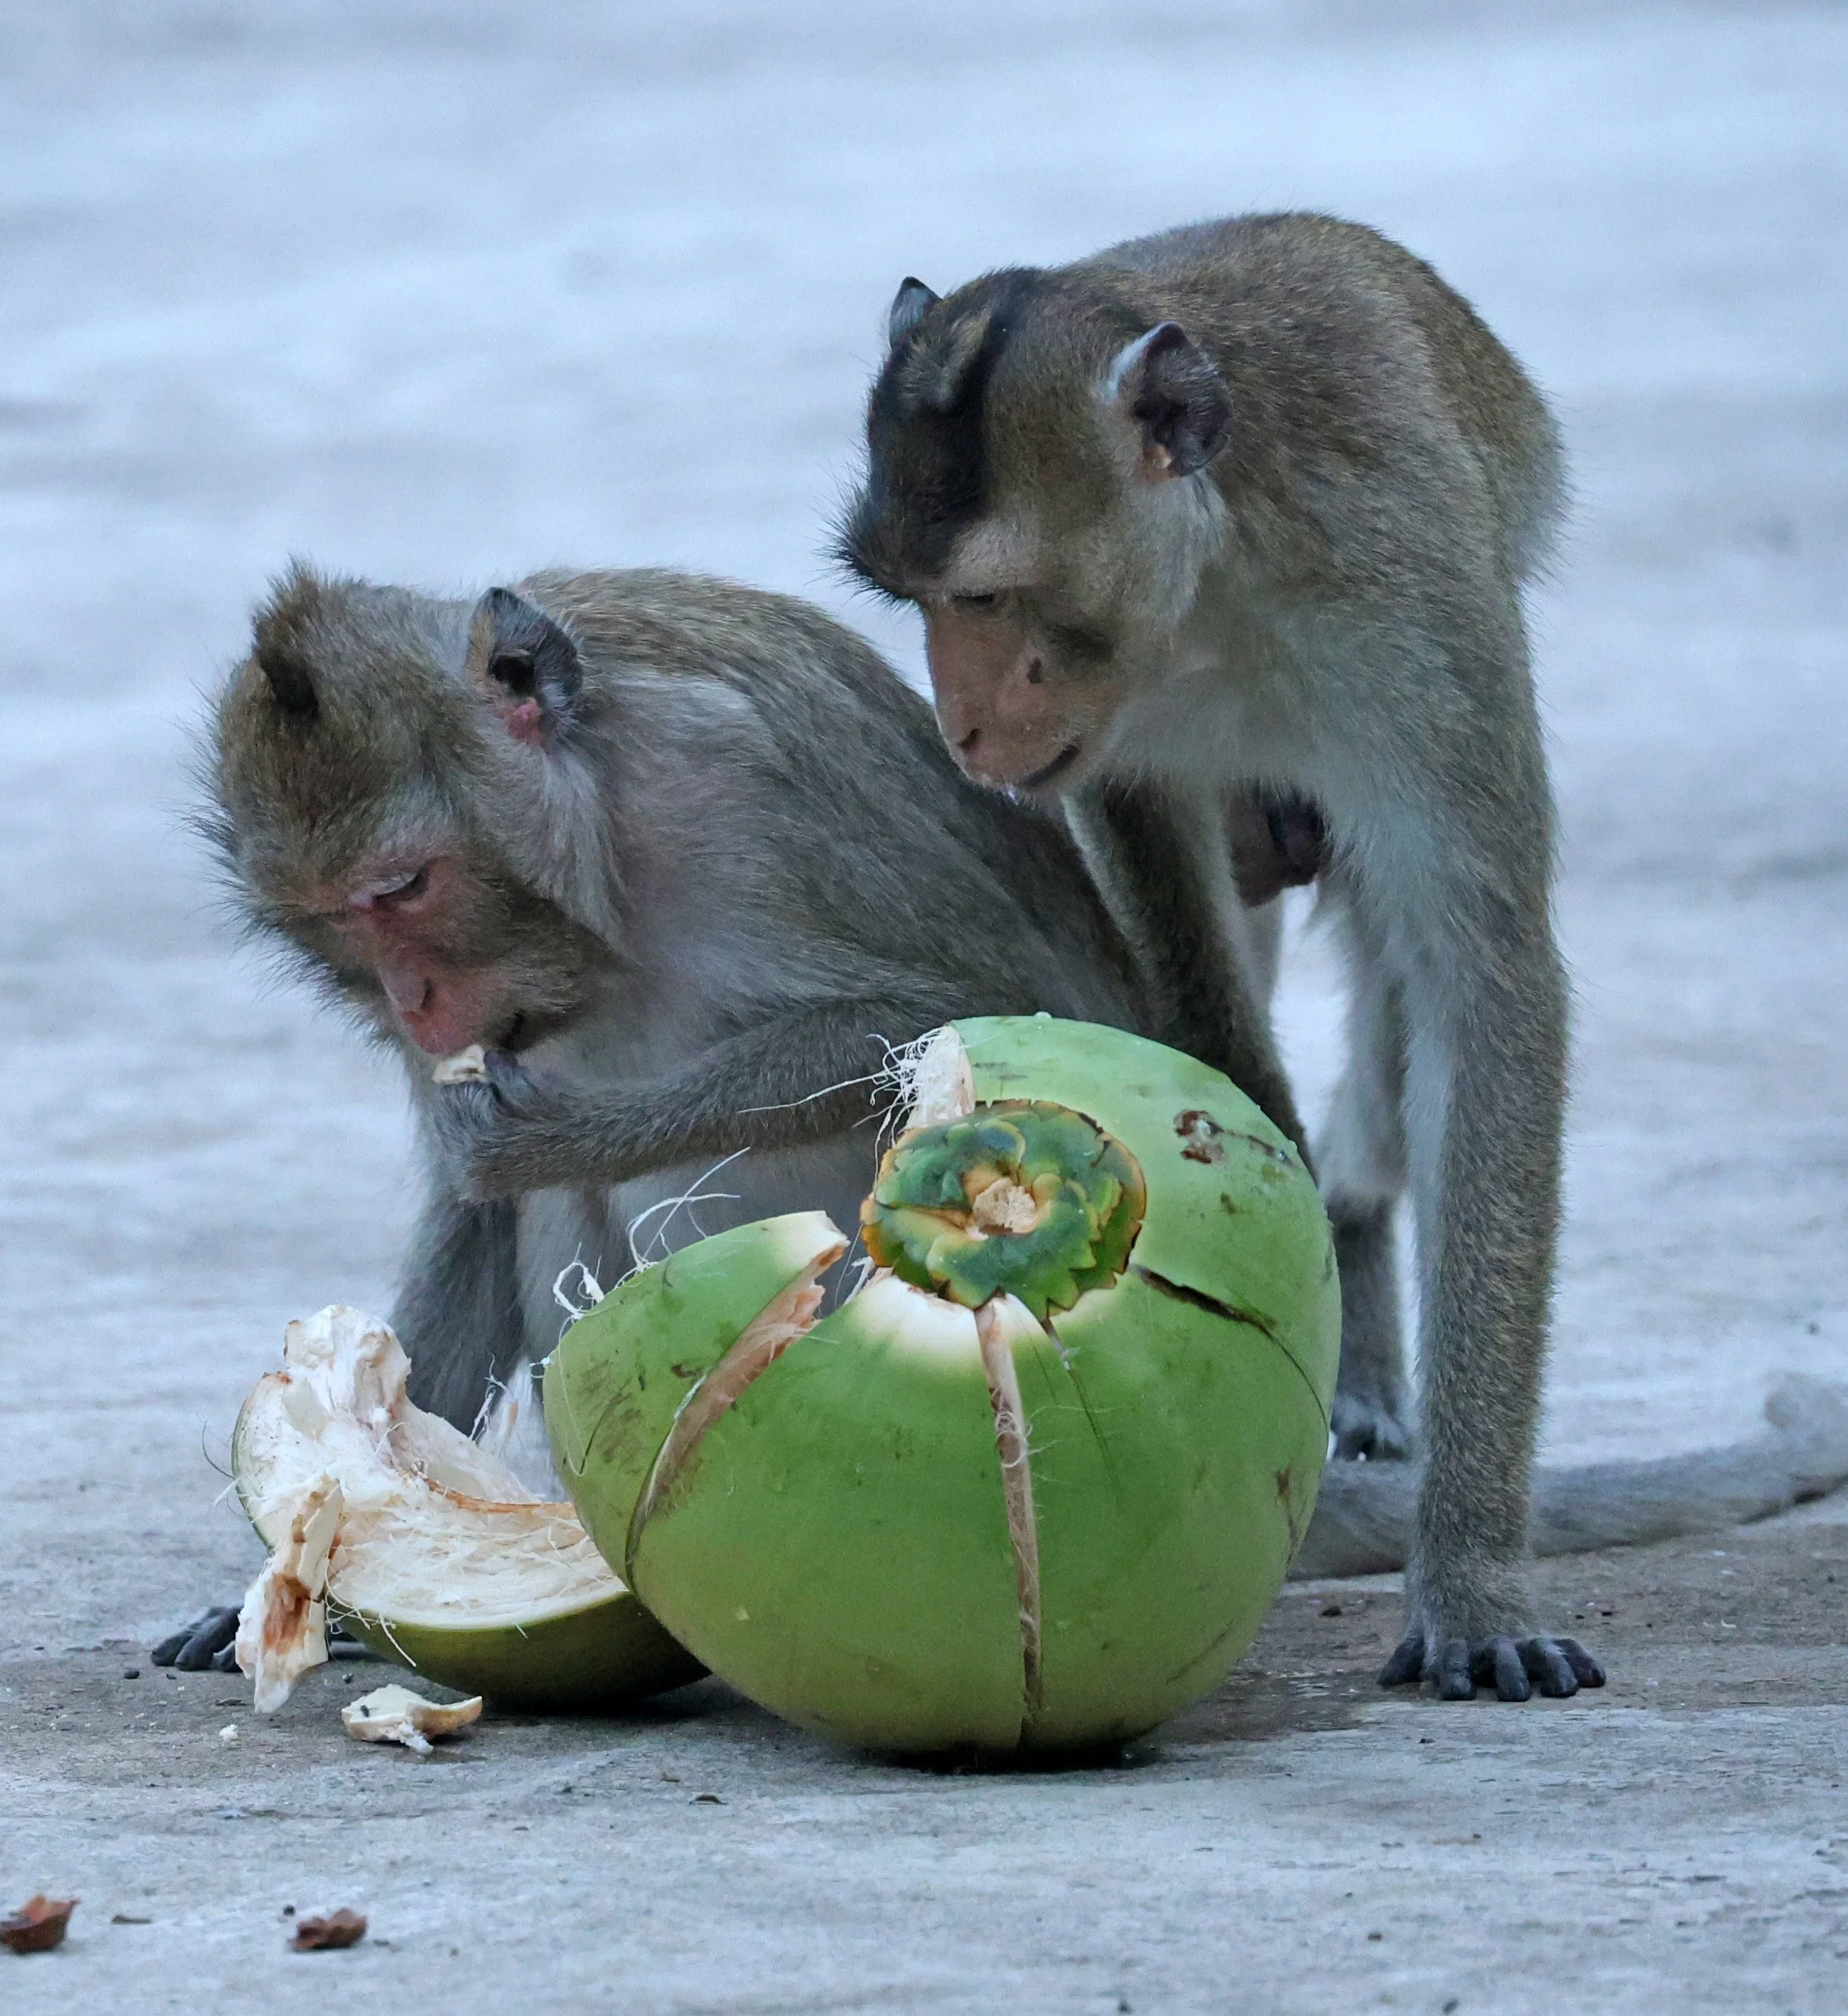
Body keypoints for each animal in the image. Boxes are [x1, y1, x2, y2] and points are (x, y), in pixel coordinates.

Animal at [838, 210, 1603, 1703]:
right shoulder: (1116, 744)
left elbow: (1480, 974)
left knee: (1392, 994)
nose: (962, 725)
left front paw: (1474, 1578)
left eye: (985, 595)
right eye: (912, 600)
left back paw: (1360, 1258)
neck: (1216, 589)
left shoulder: (1418, 610)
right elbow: (1169, 909)